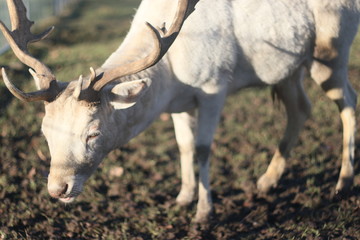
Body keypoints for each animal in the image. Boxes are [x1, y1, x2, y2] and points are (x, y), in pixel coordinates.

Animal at [0, 0, 360, 222]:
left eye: (93, 133)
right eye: (45, 132)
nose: (57, 188)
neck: (172, 74)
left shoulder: (215, 87)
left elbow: (202, 148)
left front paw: (204, 213)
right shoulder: (178, 105)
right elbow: (183, 146)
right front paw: (183, 197)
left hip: (332, 49)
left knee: (349, 101)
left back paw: (342, 183)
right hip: (287, 69)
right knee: (300, 108)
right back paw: (267, 182)